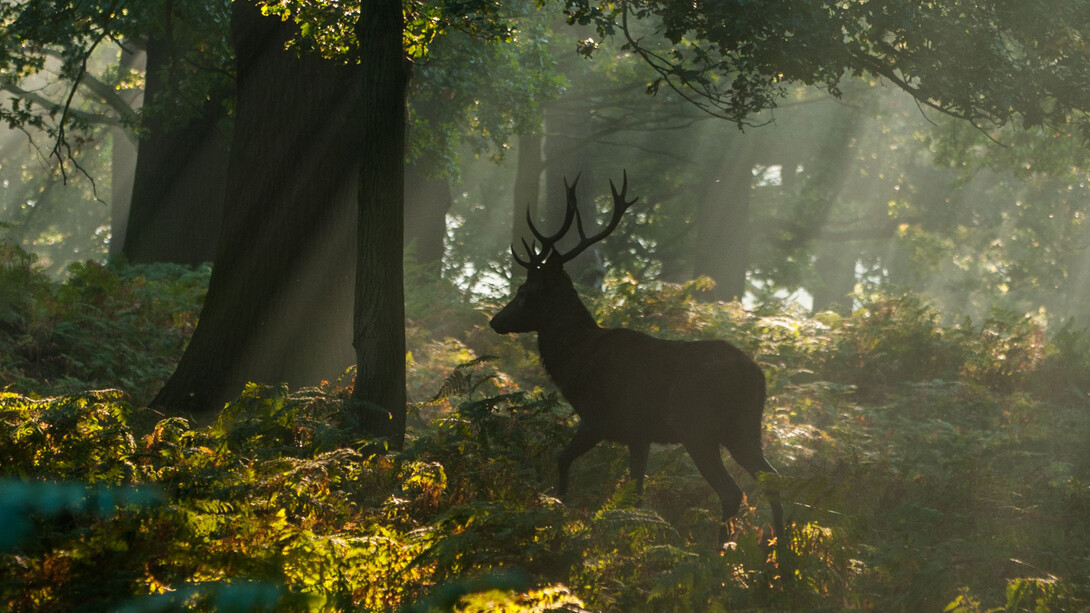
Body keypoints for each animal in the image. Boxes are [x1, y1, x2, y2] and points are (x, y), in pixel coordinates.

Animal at [490, 172, 785, 547]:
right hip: (745, 429)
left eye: (524, 292)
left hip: (698, 427)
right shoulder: (638, 434)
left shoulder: (599, 418)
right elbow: (636, 492)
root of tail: (758, 378)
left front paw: (560, 510)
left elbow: (562, 459)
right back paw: (778, 552)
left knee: (732, 491)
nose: (496, 320)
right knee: (772, 480)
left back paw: (720, 551)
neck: (573, 359)